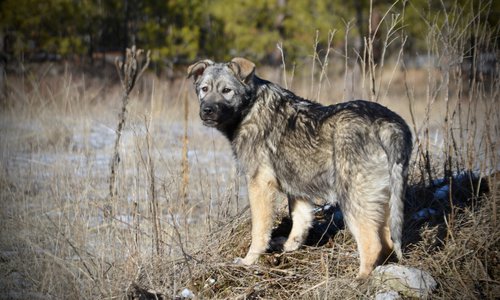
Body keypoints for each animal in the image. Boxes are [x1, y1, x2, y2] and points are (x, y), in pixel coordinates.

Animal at [186, 56, 412, 278]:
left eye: (227, 90)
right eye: (204, 89)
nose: (207, 111)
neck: (250, 108)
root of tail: (386, 123)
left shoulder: (259, 185)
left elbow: (259, 230)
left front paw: (249, 261)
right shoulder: (298, 189)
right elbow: (300, 222)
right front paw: (288, 248)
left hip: (353, 199)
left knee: (372, 244)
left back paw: (359, 280)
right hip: (382, 199)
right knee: (387, 240)